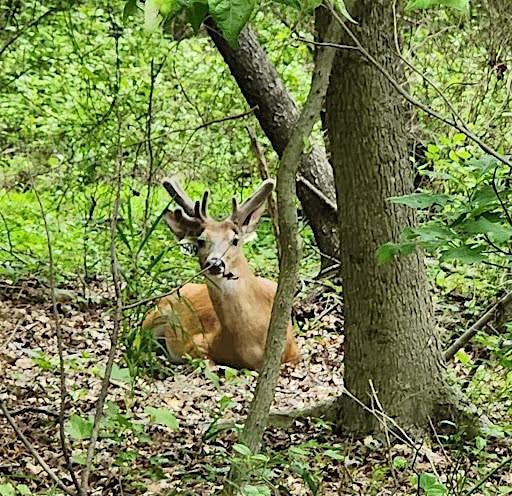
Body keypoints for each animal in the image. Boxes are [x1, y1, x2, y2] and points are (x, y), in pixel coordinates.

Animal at [142, 176, 300, 370]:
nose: (215, 263)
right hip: (154, 316)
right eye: (201, 241)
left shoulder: (294, 351)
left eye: (235, 240)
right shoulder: (195, 342)